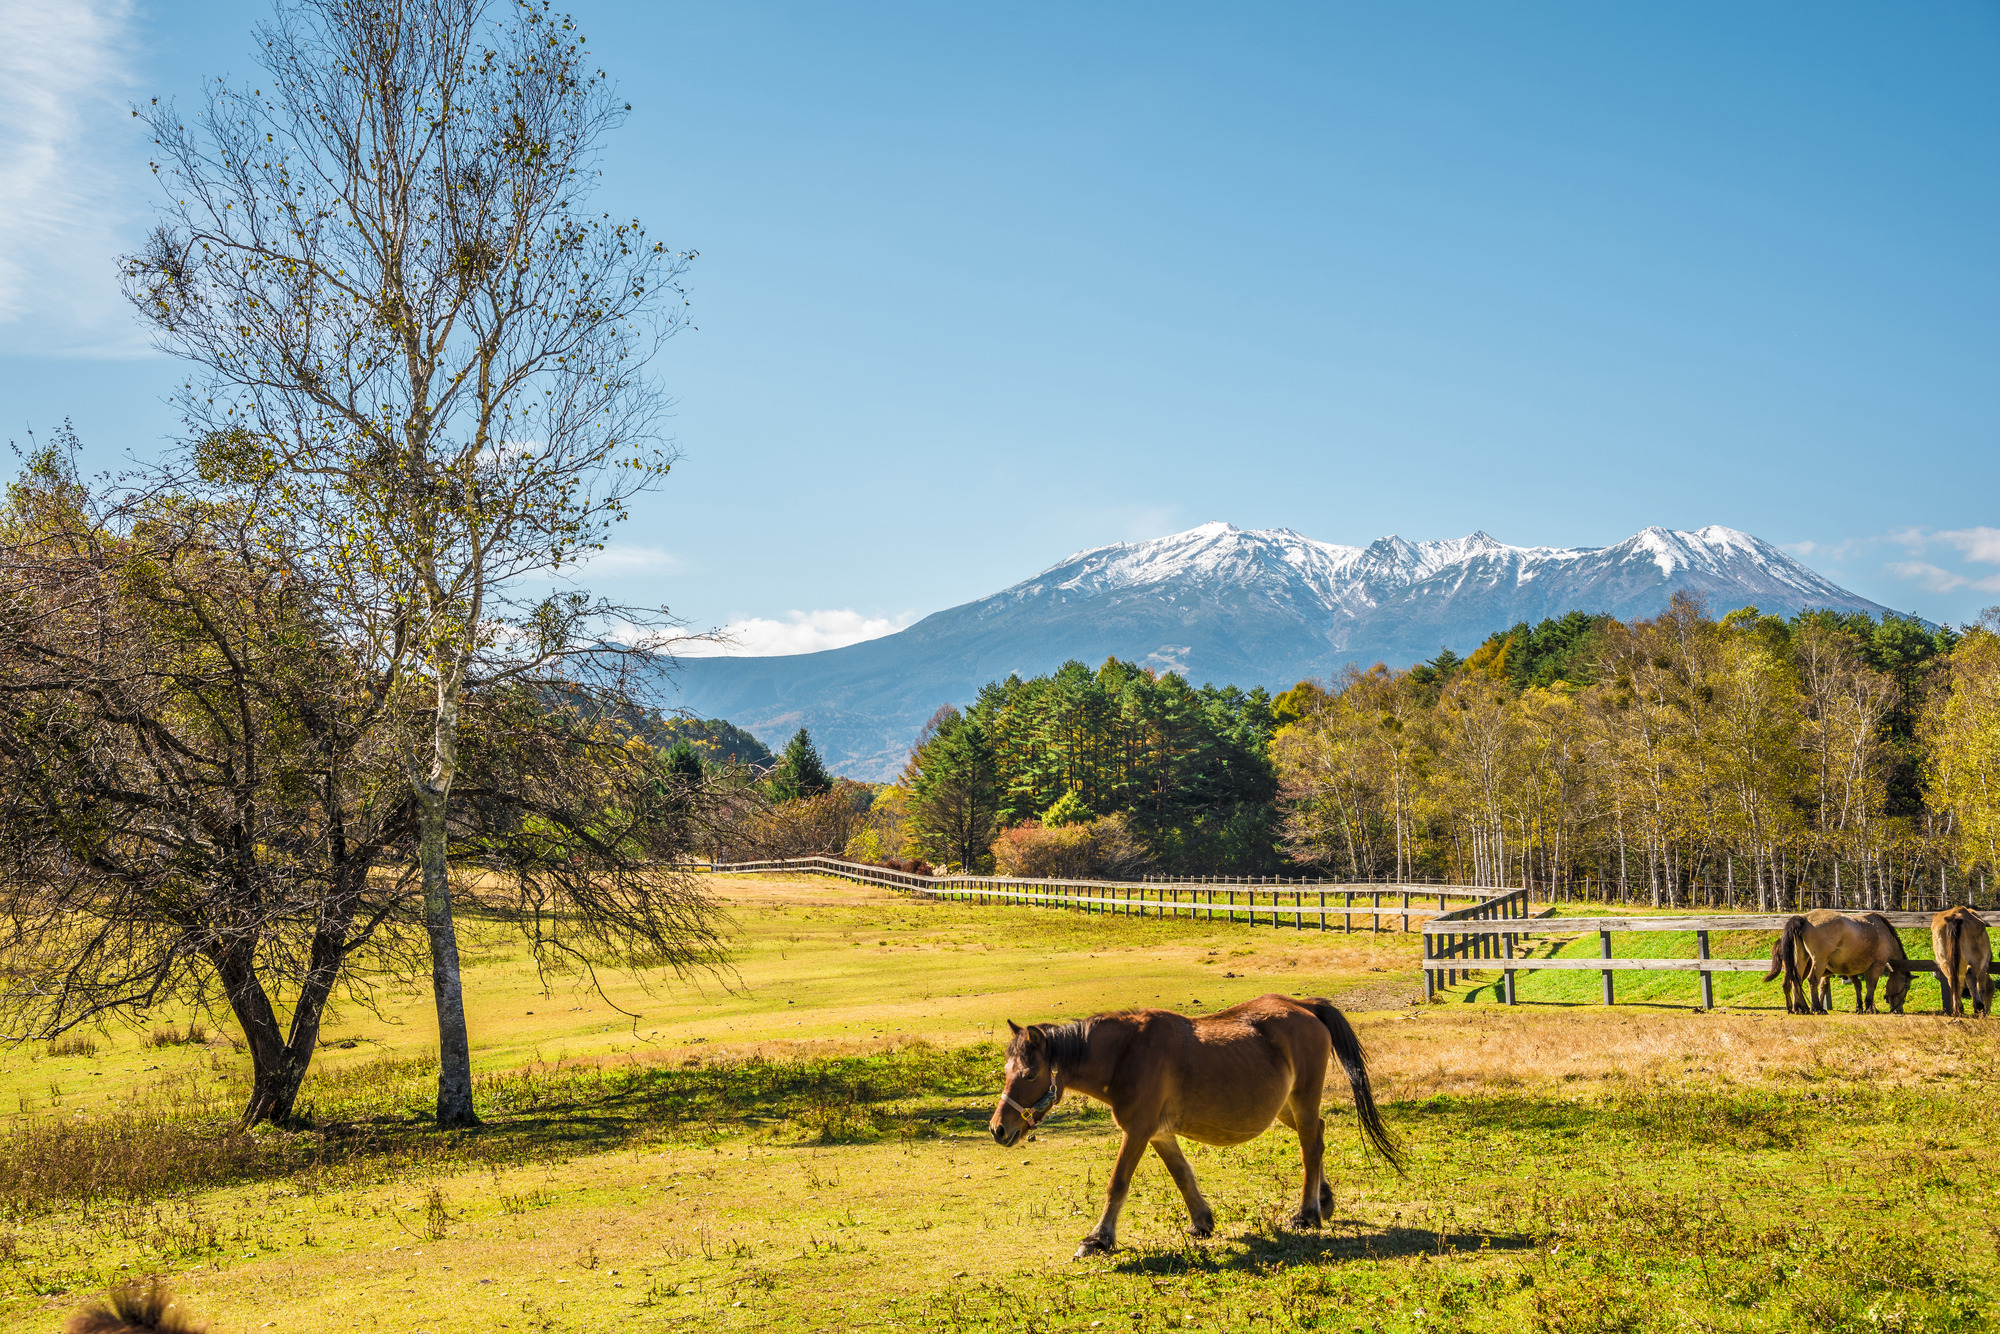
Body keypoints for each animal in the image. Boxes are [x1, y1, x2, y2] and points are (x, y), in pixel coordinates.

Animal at [988, 992, 1400, 1264]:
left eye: (1029, 1074)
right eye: (1006, 1071)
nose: (998, 1129)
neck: (1127, 1055)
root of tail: (1306, 1007)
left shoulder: (1137, 1131)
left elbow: (1117, 1184)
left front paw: (1098, 1239)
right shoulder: (1158, 1133)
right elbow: (1182, 1175)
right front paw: (1202, 1222)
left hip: (1302, 1099)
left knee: (1310, 1147)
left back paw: (1306, 1214)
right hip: (1285, 1107)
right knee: (1318, 1135)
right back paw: (1324, 1200)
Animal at [1776, 912, 1912, 1016]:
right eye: (1906, 987)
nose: (1898, 1010)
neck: (1883, 931)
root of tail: (1804, 918)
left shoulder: (1854, 969)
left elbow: (1860, 985)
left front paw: (1862, 1007)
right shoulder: (1878, 965)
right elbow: (1871, 986)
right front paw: (1870, 1008)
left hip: (1801, 959)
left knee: (1795, 981)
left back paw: (1800, 1008)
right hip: (1819, 961)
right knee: (1812, 980)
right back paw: (1817, 1008)